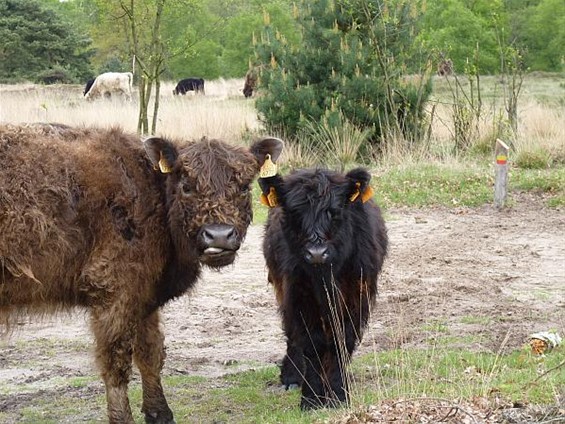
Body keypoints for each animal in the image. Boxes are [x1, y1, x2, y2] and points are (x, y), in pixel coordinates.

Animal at [0, 122, 282, 424]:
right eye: (186, 186)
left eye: (243, 187)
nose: (219, 235)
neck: (150, 191)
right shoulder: (113, 293)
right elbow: (117, 365)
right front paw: (123, 418)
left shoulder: (145, 298)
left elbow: (151, 354)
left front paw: (160, 413)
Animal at [258, 166, 388, 410]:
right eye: (295, 212)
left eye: (334, 212)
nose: (316, 253)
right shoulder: (299, 297)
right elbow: (312, 344)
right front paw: (311, 399)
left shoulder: (356, 297)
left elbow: (341, 342)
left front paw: (338, 393)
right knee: (291, 333)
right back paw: (292, 376)